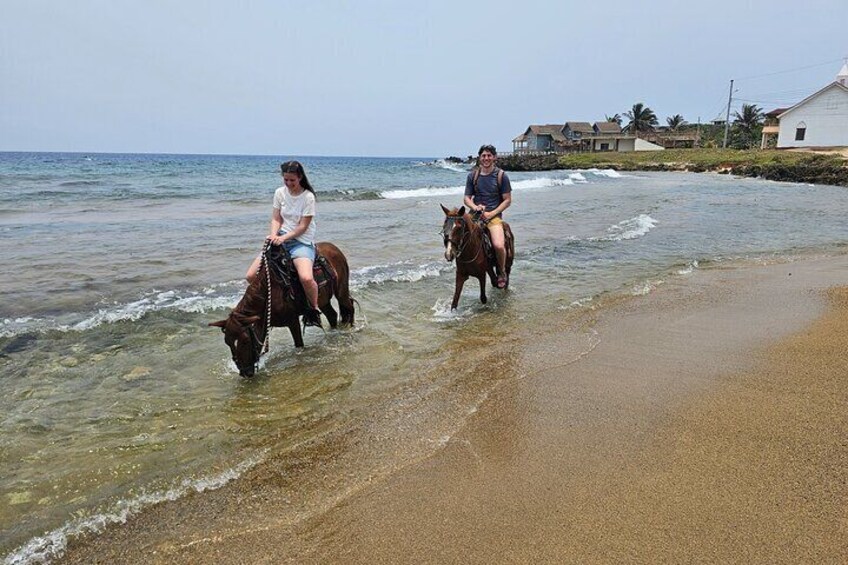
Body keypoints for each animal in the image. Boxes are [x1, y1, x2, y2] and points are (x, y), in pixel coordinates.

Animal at [215, 241, 358, 376]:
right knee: (332, 315)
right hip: (323, 302)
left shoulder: (293, 322)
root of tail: (334, 248)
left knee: (349, 308)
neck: (269, 294)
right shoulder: (261, 322)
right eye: (227, 342)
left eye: (244, 341)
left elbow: (299, 344)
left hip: (341, 292)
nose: (245, 373)